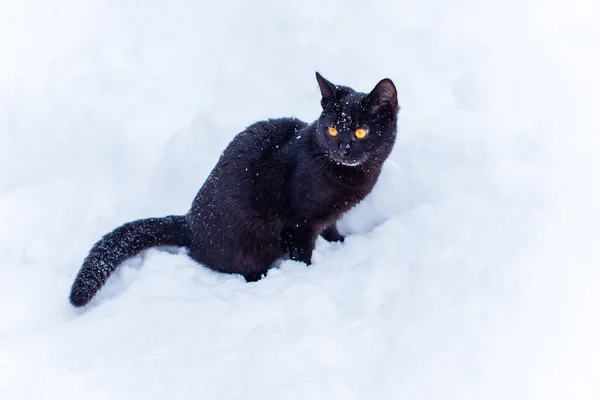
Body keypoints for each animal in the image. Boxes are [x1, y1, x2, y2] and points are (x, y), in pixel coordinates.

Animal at [69, 72, 398, 306]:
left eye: (360, 132)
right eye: (331, 129)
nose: (342, 148)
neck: (350, 176)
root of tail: (189, 223)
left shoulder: (326, 216)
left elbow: (330, 228)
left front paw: (341, 243)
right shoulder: (298, 223)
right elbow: (302, 253)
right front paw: (308, 274)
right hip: (253, 243)